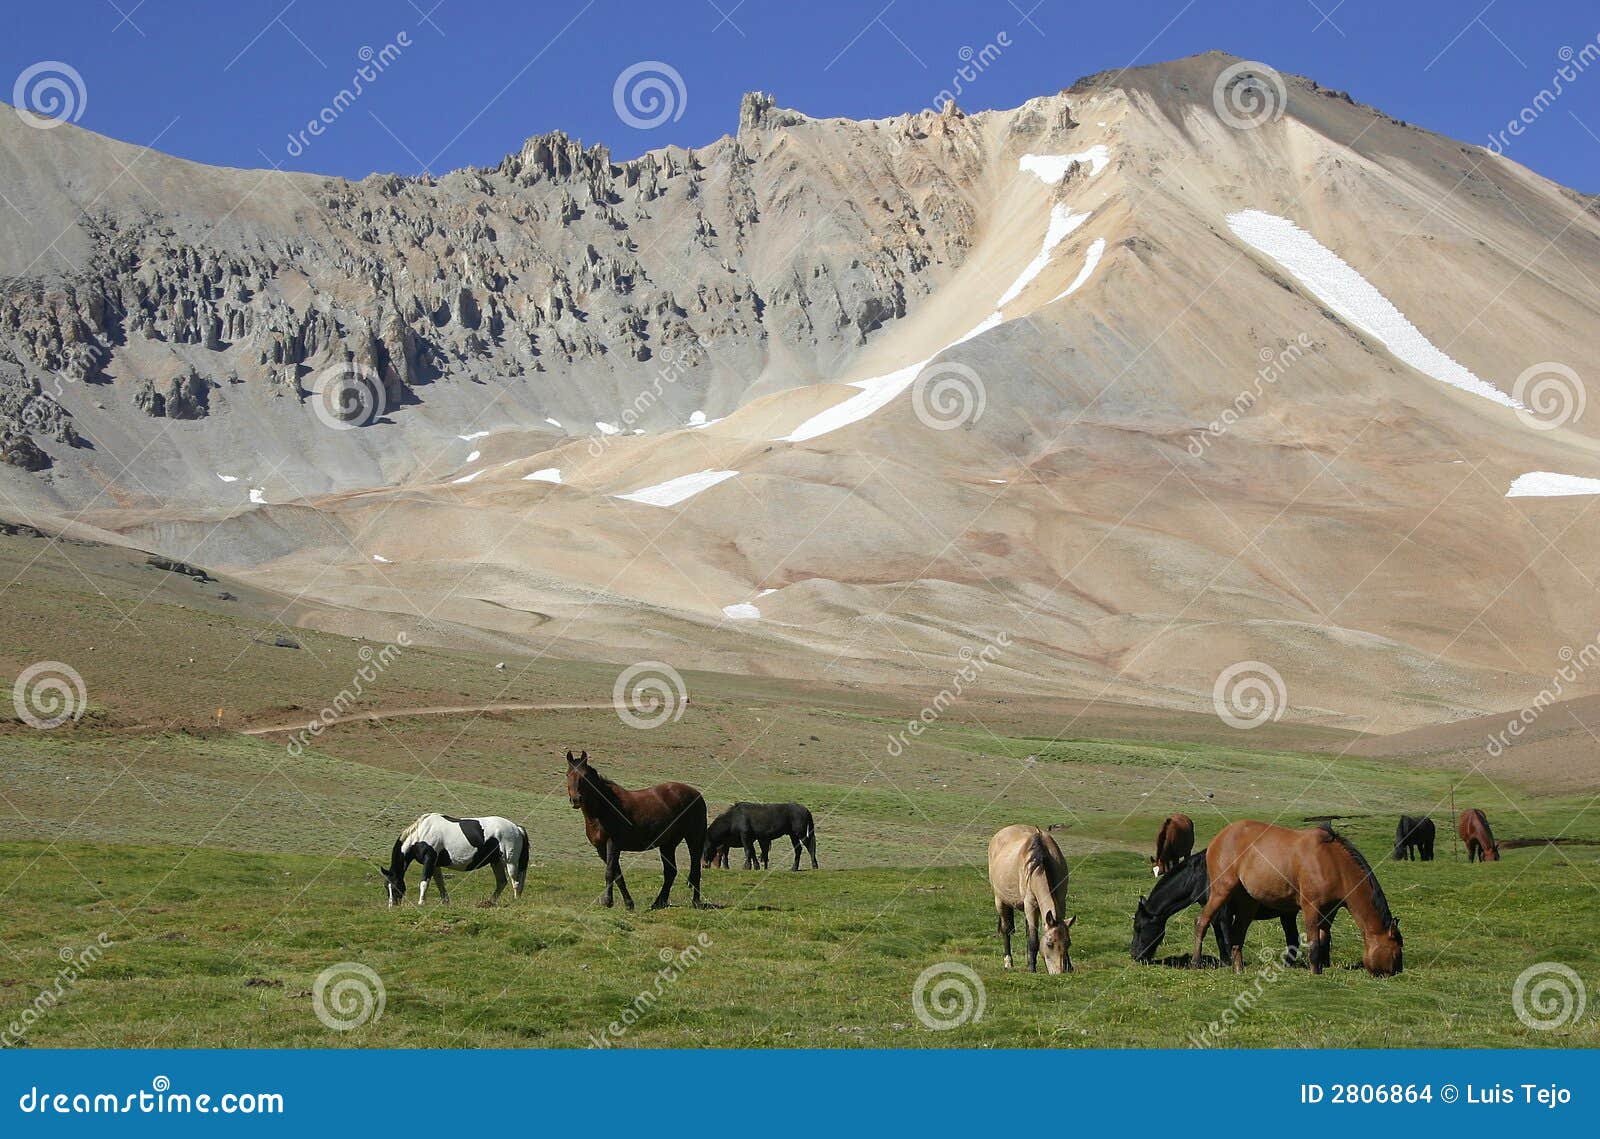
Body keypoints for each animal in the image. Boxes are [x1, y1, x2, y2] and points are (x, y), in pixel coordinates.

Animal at [377, 809, 528, 908]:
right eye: (386, 886)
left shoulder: (429, 860)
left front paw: (421, 902)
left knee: (515, 882)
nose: (392, 906)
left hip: (510, 862)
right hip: (496, 861)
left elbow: (424, 882)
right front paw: (445, 902)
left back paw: (515, 901)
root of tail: (517, 828)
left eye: (395, 886)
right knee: (502, 882)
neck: (420, 834)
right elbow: (440, 883)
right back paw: (491, 902)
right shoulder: (435, 864)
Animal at [569, 751, 707, 915]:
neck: (603, 808)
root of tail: (697, 795)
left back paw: (696, 902)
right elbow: (617, 875)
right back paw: (659, 903)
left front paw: (607, 901)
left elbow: (609, 872)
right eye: (568, 775)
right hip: (668, 844)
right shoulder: (601, 848)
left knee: (695, 868)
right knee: (670, 872)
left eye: (584, 776)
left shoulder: (613, 844)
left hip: (693, 839)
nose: (576, 799)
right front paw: (628, 904)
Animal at [985, 825, 1075, 972]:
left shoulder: (1062, 901)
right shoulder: (1030, 905)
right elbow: (1033, 940)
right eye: (1049, 944)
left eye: (1068, 943)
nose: (1060, 972)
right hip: (1000, 901)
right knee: (1006, 930)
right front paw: (1032, 968)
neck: (1039, 864)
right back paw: (1008, 961)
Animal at [1126, 851, 1299, 966]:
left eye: (1139, 927)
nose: (1134, 955)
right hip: (1288, 914)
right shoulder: (1215, 914)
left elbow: (1227, 938)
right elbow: (1219, 938)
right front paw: (1225, 962)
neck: (1200, 876)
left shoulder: (1224, 913)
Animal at [1190, 825, 1401, 972]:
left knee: (1237, 934)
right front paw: (1315, 972)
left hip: (1248, 904)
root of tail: (1219, 838)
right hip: (1221, 890)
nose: (1397, 972)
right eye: (1396, 950)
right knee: (1202, 922)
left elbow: (1324, 939)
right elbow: (1314, 942)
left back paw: (1238, 969)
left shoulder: (1329, 911)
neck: (1332, 862)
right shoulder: (1311, 907)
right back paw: (1195, 962)